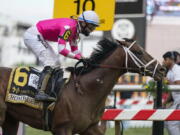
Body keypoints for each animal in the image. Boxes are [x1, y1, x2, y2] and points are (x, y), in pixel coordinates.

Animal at [0, 38, 165, 135]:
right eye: (139, 52)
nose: (162, 70)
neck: (85, 91)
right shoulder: (62, 129)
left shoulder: (90, 128)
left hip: (10, 119)